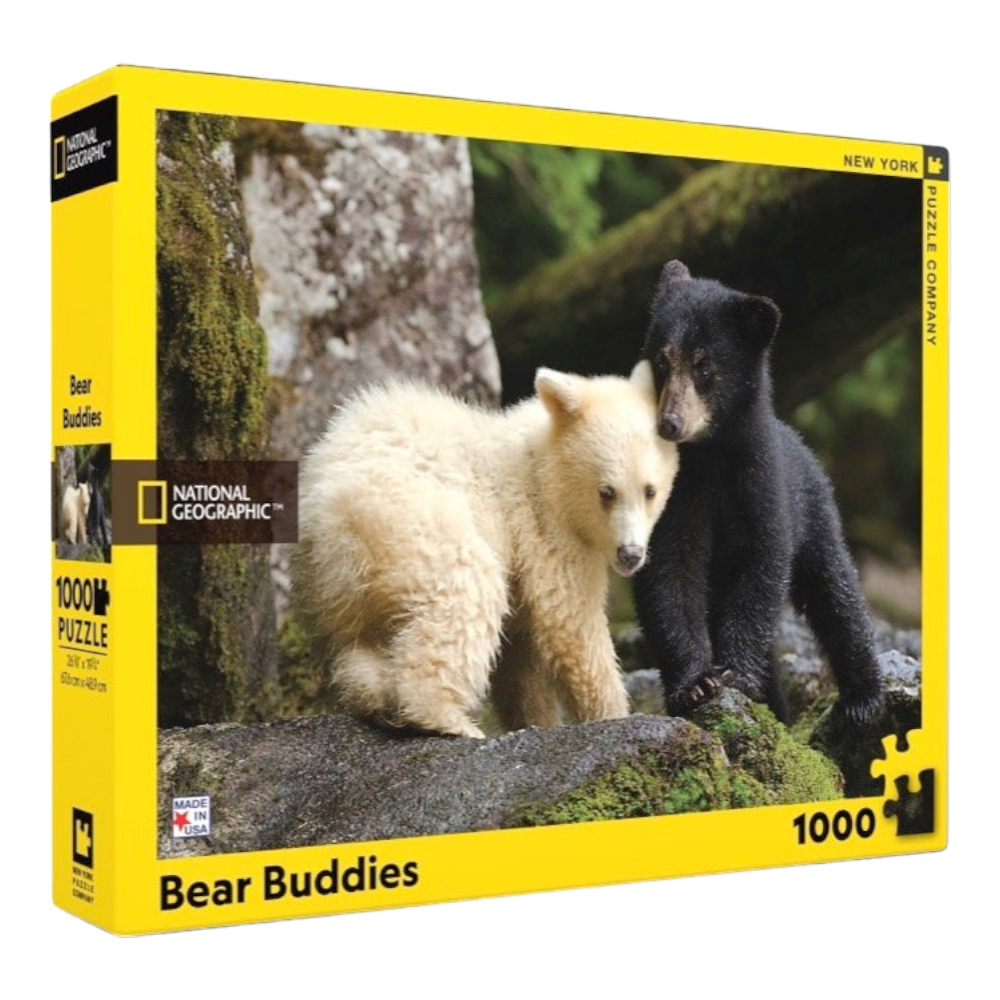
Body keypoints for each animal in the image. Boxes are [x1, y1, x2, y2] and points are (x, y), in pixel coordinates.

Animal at [296, 361, 679, 739]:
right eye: (606, 492)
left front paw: (536, 719)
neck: (543, 466)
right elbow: (571, 623)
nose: (631, 554)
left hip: (341, 585)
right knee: (467, 593)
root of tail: (329, 513)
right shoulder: (545, 529)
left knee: (362, 641)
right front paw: (613, 714)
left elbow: (521, 660)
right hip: (416, 522)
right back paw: (446, 718)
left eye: (650, 490)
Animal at [631, 260, 885, 726]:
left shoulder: (761, 483)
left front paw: (736, 676)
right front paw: (695, 685)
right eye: (661, 360)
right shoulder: (671, 496)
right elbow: (669, 571)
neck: (708, 456)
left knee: (836, 590)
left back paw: (863, 697)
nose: (669, 423)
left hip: (816, 510)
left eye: (704, 366)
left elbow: (761, 563)